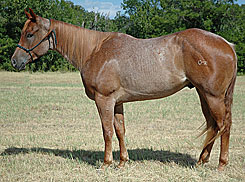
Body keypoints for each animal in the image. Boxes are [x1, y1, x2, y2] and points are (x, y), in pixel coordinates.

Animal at [10, 8, 236, 171]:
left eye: (29, 34)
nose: (14, 61)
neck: (94, 50)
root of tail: (228, 44)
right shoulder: (117, 102)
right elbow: (120, 130)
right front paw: (122, 162)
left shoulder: (104, 99)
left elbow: (107, 131)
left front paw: (106, 164)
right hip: (203, 94)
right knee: (213, 126)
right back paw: (201, 161)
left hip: (213, 96)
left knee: (223, 126)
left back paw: (221, 165)